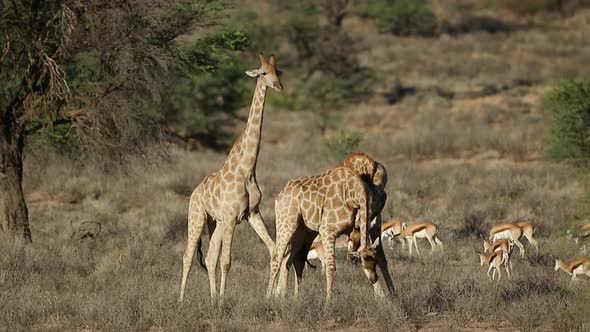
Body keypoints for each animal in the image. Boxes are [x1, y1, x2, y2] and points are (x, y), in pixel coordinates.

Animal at [178, 54, 282, 300]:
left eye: (278, 71)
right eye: (263, 73)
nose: (278, 86)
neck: (247, 169)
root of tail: (194, 192)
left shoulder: (252, 213)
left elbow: (274, 249)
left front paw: (272, 295)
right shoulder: (233, 216)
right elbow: (227, 261)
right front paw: (225, 300)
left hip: (215, 222)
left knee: (208, 257)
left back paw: (212, 297)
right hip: (197, 217)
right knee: (188, 256)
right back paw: (181, 299)